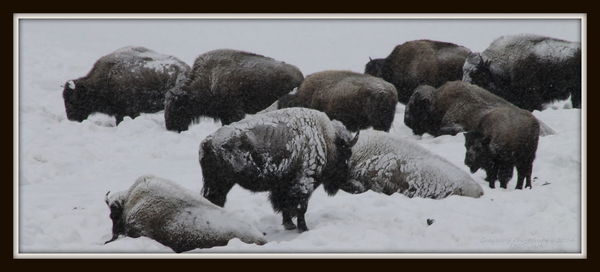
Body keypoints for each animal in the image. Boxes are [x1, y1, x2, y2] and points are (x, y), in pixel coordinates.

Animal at [199, 108, 358, 232]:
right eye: (347, 153)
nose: (350, 183)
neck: (325, 139)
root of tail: (207, 142)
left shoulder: (283, 185)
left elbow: (284, 205)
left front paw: (289, 224)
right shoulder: (304, 182)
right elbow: (301, 207)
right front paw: (303, 228)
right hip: (221, 184)